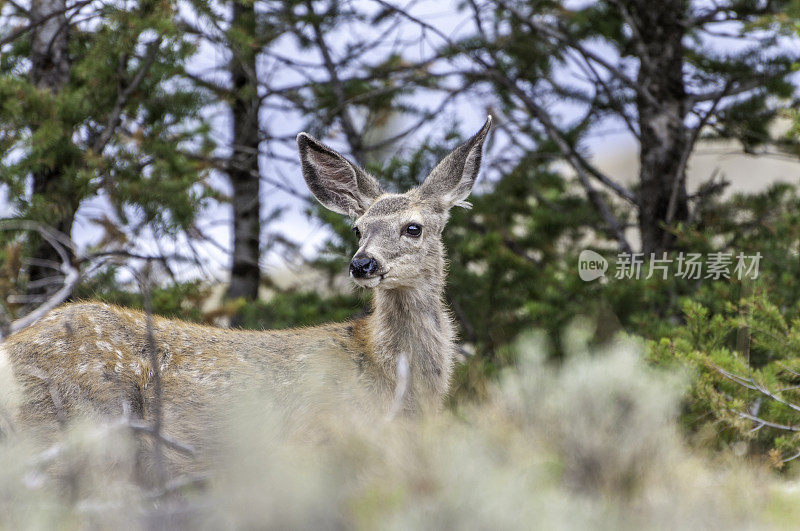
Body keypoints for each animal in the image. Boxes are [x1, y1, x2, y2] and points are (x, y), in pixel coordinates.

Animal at [0, 116, 490, 458]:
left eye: (413, 228)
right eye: (357, 228)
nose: (362, 263)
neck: (393, 378)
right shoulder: (318, 439)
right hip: (86, 424)